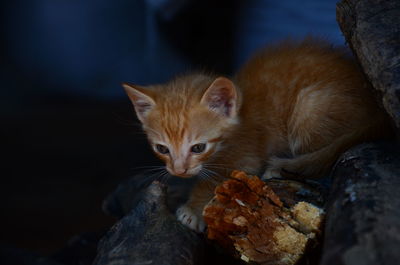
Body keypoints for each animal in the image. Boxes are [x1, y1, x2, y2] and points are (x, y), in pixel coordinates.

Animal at [122, 38, 390, 231]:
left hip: (308, 105)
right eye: (162, 149)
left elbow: (217, 178)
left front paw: (193, 209)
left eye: (198, 148)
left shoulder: (247, 157)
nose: (179, 170)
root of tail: (377, 110)